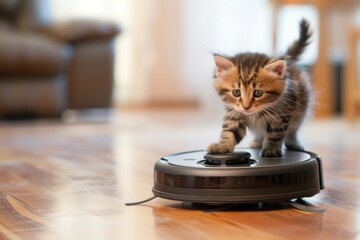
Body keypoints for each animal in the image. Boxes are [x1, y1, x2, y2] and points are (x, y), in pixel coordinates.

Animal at [208, 19, 312, 158]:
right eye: (236, 92)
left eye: (258, 93)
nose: (246, 107)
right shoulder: (234, 113)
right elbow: (230, 131)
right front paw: (222, 145)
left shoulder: (281, 115)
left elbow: (275, 134)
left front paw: (271, 149)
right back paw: (257, 142)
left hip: (301, 110)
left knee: (293, 130)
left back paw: (294, 144)